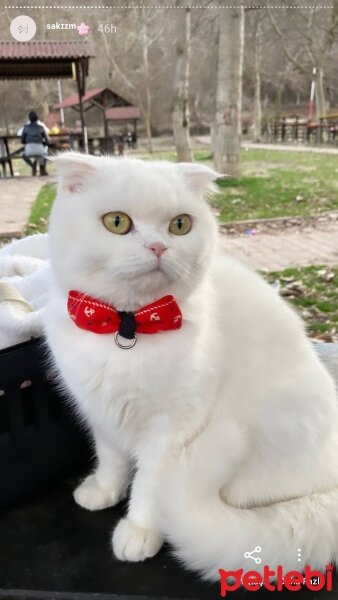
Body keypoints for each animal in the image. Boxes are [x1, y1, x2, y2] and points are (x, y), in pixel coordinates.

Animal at [43, 152, 338, 584]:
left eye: (180, 224)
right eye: (117, 222)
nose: (158, 246)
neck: (128, 325)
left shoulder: (170, 431)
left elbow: (149, 486)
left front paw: (138, 532)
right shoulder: (101, 413)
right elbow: (111, 459)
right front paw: (103, 491)